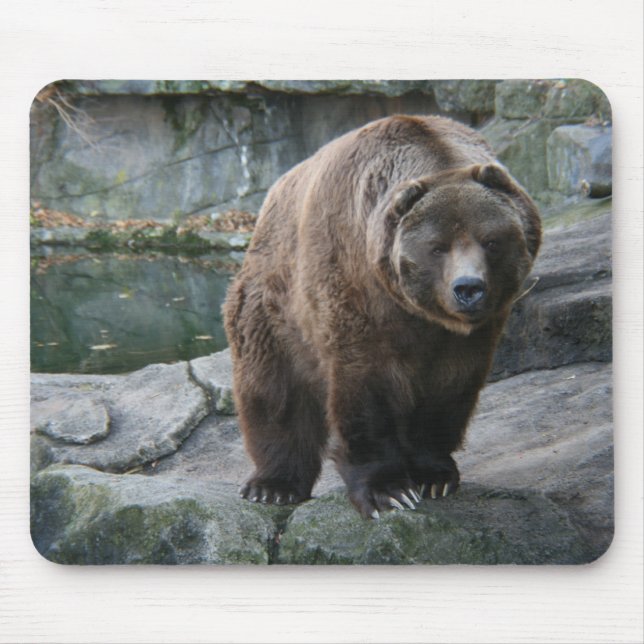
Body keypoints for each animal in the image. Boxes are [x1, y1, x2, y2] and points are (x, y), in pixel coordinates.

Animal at [223, 114, 541, 519]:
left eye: (491, 241)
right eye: (437, 247)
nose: (468, 288)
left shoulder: (472, 332)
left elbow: (449, 388)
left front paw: (434, 475)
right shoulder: (356, 291)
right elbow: (366, 388)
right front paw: (388, 491)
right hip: (273, 306)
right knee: (275, 390)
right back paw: (272, 485)